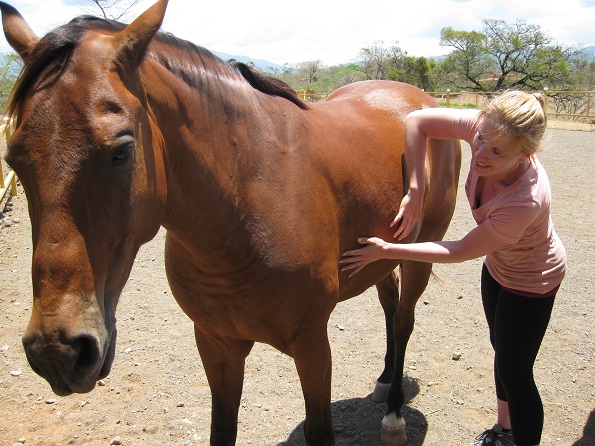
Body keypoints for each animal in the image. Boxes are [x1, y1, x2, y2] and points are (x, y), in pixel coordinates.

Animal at [0, 1, 464, 444]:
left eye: (122, 149)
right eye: (14, 158)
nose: (58, 350)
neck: (245, 201)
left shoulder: (313, 345)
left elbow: (320, 431)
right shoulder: (216, 343)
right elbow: (222, 429)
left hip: (420, 254)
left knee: (403, 320)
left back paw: (394, 415)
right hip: (381, 254)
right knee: (390, 304)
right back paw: (384, 381)